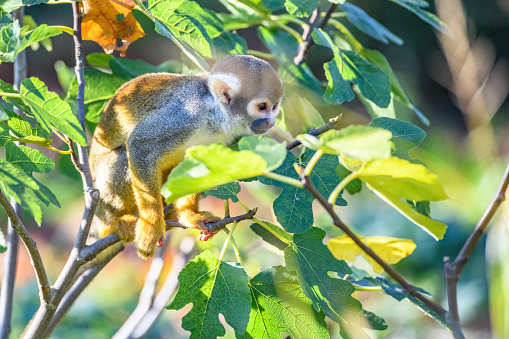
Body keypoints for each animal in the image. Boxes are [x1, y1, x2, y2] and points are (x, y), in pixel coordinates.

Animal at [89, 55, 284, 258]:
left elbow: (195, 167)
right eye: (262, 107)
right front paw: (151, 225)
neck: (215, 113)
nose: (271, 122)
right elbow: (140, 144)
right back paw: (113, 226)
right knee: (122, 160)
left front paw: (189, 216)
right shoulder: (185, 115)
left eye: (275, 106)